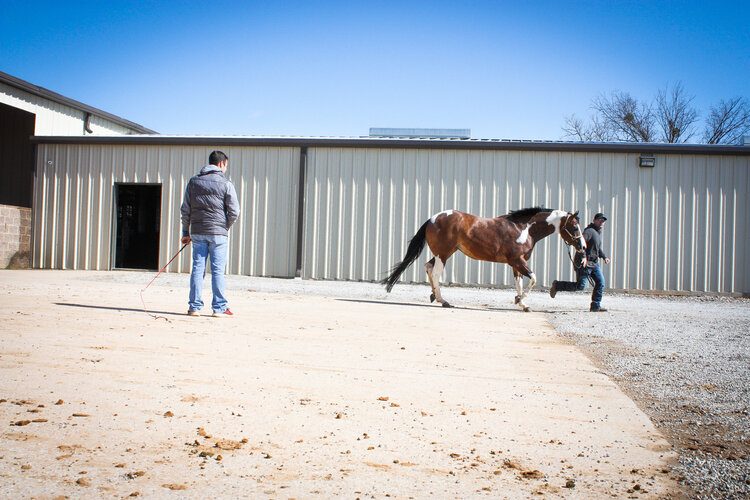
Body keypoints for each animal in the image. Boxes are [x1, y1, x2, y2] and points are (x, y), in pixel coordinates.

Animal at [382, 206, 588, 308]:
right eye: (575, 227)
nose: (583, 248)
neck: (525, 228)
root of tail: (433, 218)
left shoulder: (516, 264)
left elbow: (520, 283)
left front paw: (522, 304)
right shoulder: (517, 260)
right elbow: (533, 279)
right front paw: (520, 300)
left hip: (445, 252)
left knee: (428, 266)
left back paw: (434, 296)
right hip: (443, 254)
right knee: (435, 273)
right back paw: (444, 301)